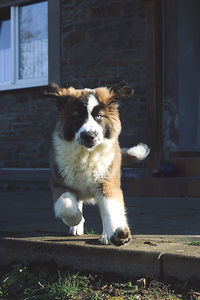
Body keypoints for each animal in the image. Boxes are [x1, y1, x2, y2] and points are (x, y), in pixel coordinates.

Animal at [44, 81, 149, 246]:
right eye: (77, 117)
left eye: (99, 116)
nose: (89, 136)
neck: (86, 154)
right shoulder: (58, 181)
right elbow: (66, 205)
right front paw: (76, 219)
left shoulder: (107, 181)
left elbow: (111, 208)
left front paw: (118, 233)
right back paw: (77, 226)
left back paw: (106, 235)